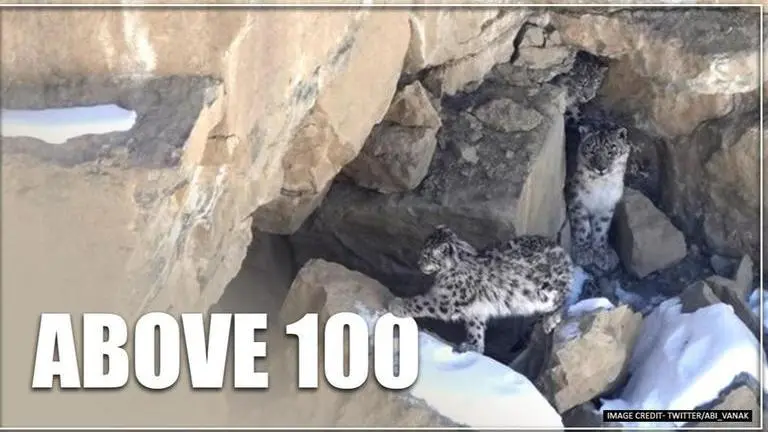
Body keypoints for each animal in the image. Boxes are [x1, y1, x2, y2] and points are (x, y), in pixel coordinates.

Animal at [388, 225, 574, 355]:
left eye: (427, 255)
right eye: (423, 252)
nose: (419, 264)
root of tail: (562, 251)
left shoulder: (446, 300)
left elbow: (422, 302)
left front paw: (397, 305)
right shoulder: (475, 309)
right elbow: (475, 328)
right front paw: (473, 346)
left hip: (546, 293)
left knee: (566, 297)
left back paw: (551, 319)